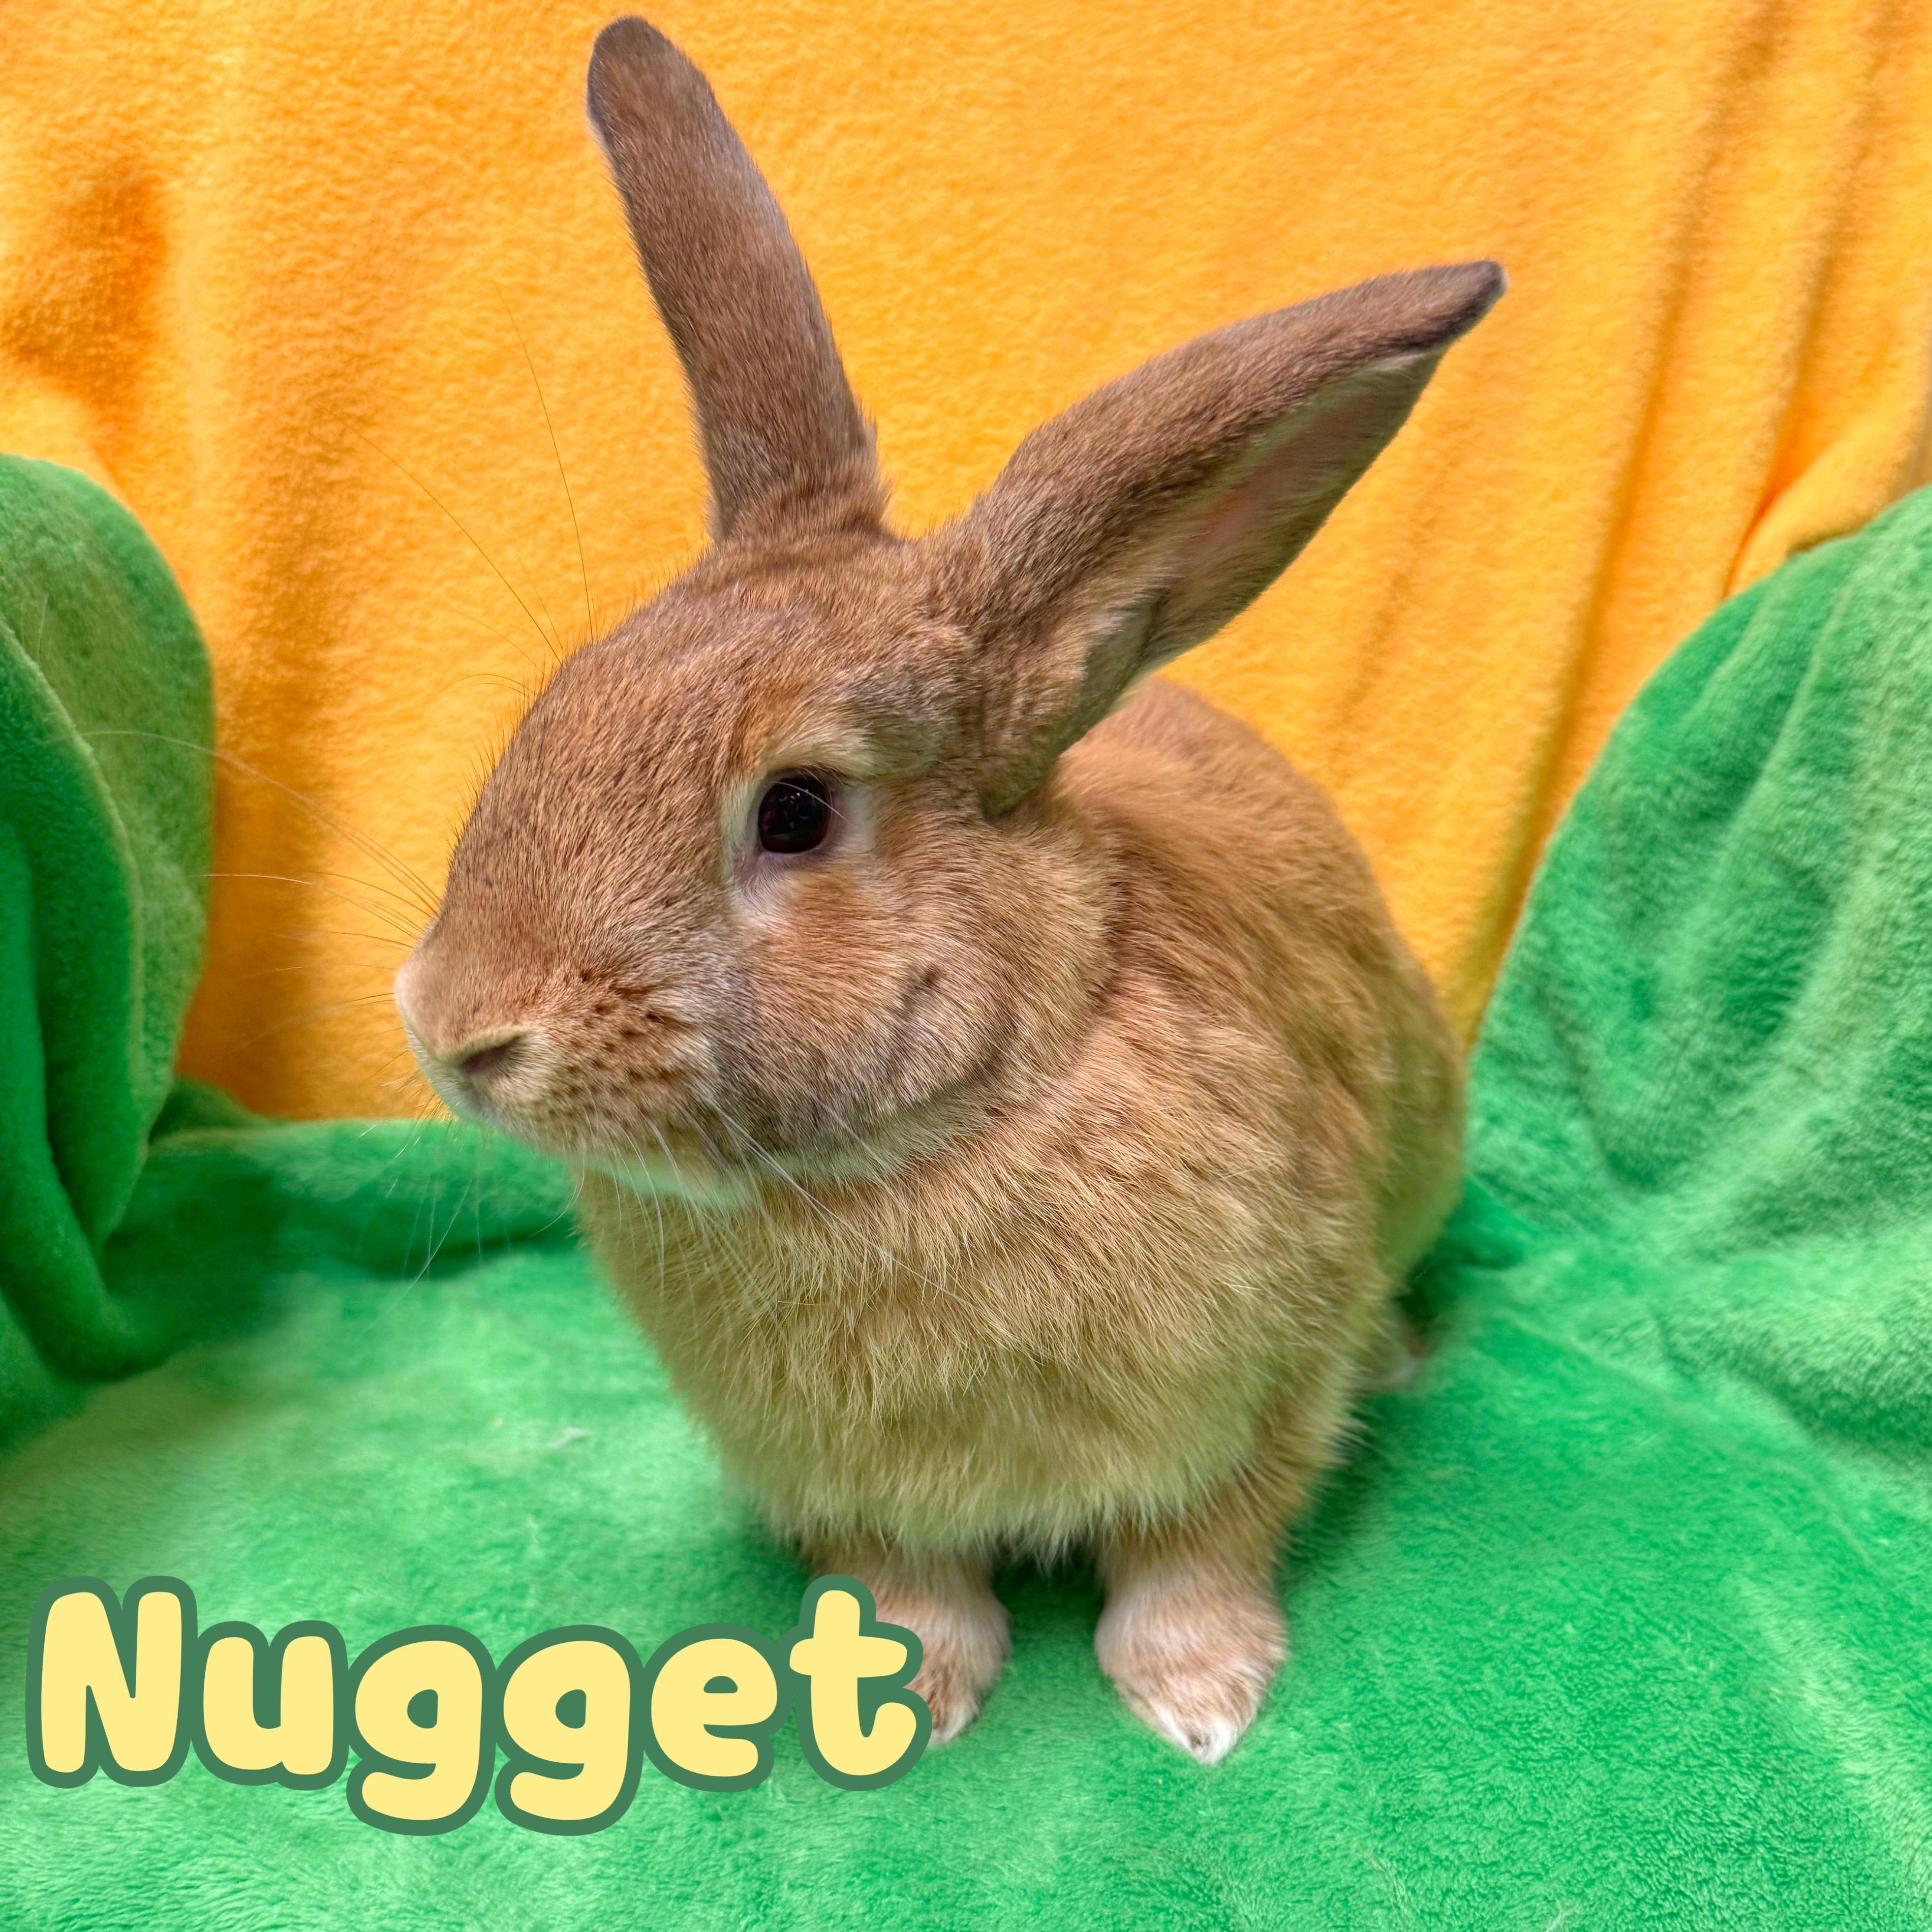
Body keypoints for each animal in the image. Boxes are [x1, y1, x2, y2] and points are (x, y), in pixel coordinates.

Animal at [394, 14, 1496, 1764]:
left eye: (794, 813)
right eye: (551, 712)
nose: (452, 1030)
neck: (917, 1154)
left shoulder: (1259, 1391)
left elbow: (1199, 1553)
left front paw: (1200, 1706)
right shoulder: (845, 1489)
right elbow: (906, 1583)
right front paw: (900, 1699)